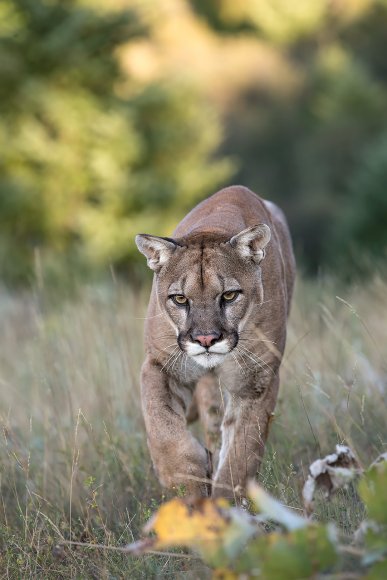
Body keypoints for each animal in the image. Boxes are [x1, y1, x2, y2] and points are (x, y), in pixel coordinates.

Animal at [135, 186, 296, 498]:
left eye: (229, 295)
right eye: (180, 298)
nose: (206, 339)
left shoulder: (256, 380)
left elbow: (241, 454)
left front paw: (225, 504)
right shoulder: (161, 364)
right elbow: (162, 426)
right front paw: (185, 482)